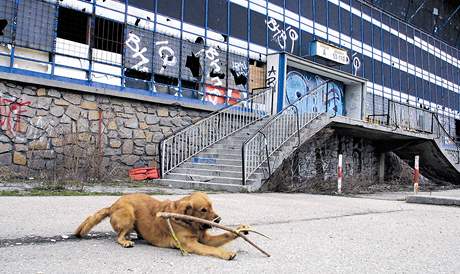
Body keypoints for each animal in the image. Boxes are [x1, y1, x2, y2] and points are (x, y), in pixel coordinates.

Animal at [74, 192, 248, 260]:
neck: (187, 221)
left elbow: (224, 235)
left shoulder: (205, 238)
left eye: (212, 206)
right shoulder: (191, 244)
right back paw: (126, 241)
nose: (218, 220)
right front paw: (226, 253)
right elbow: (212, 249)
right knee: (119, 236)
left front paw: (240, 230)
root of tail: (112, 205)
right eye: (203, 210)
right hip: (128, 213)